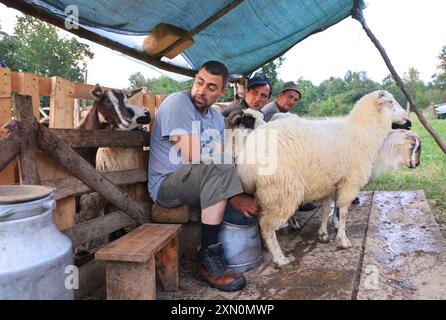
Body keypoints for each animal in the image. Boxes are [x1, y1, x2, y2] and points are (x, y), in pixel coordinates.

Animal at [237, 89, 408, 266]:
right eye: (390, 102)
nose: (406, 117)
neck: (363, 131)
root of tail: (245, 159)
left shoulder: (329, 184)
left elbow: (327, 209)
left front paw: (323, 233)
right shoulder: (350, 182)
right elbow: (344, 212)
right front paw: (343, 239)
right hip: (280, 192)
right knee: (267, 226)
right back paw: (279, 258)